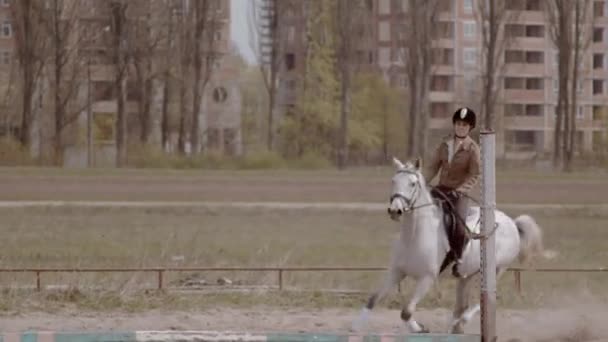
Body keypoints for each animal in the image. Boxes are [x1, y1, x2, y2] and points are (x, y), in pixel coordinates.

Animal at [352, 157, 548, 334]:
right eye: (393, 181)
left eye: (413, 184)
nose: (395, 210)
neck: (414, 235)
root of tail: (512, 223)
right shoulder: (396, 272)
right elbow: (372, 300)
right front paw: (357, 327)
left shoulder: (427, 278)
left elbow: (406, 312)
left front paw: (420, 328)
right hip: (466, 276)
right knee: (462, 303)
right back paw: (455, 327)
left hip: (496, 270)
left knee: (484, 299)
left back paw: (461, 321)